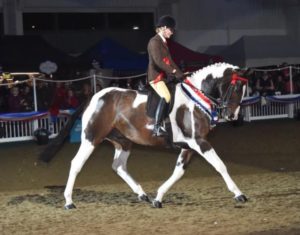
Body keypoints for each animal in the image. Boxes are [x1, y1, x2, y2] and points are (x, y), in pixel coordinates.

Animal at [65, 63, 248, 209]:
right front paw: (239, 194)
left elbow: (178, 172)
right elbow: (220, 165)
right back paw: (69, 202)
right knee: (76, 164)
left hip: (123, 141)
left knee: (118, 166)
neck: (195, 100)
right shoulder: (199, 142)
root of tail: (94, 97)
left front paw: (158, 198)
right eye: (237, 87)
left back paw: (142, 194)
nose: (232, 115)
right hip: (91, 138)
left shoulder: (189, 146)